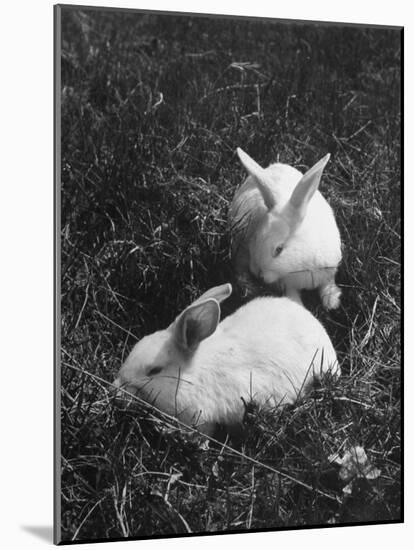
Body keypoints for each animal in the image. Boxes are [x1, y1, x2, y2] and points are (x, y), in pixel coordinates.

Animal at [230, 147, 342, 310]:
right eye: (256, 238)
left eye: (279, 250)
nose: (258, 273)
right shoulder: (289, 285)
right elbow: (292, 296)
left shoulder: (329, 270)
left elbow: (328, 283)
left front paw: (332, 301)